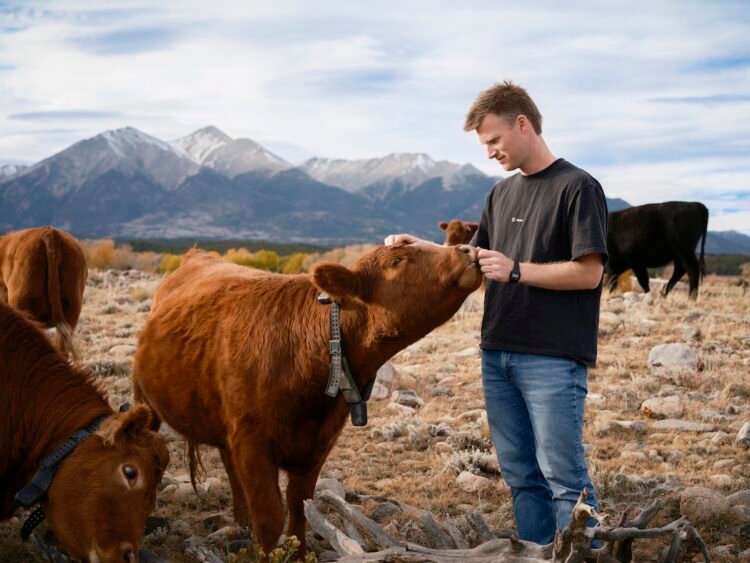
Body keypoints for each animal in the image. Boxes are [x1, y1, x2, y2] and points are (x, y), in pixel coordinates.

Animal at [133, 243, 482, 555]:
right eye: (397, 260)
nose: (467, 249)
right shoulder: (252, 443)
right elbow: (271, 518)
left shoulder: (317, 444)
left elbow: (301, 508)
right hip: (145, 404)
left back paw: (240, 522)